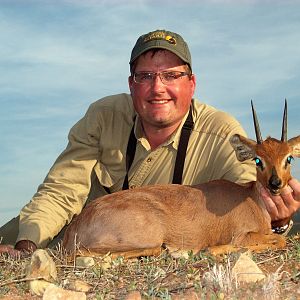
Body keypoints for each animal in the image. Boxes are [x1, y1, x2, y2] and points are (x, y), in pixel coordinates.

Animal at [62, 101, 298, 258]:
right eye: (258, 160)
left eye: (289, 157)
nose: (275, 183)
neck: (251, 198)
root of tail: (74, 229)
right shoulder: (242, 235)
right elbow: (279, 240)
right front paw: (214, 249)